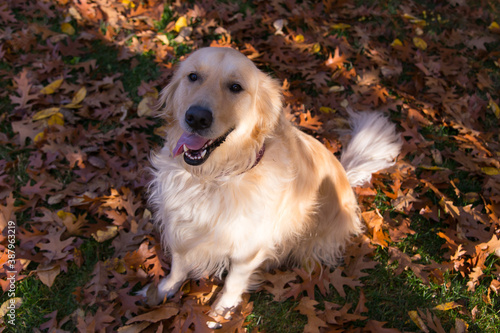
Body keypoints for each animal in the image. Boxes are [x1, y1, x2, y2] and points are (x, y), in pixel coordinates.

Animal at [142, 46, 402, 316]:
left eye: (235, 87)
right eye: (193, 76)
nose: (196, 117)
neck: (213, 177)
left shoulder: (248, 250)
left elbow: (233, 282)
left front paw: (221, 312)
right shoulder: (179, 226)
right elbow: (178, 265)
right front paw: (162, 290)